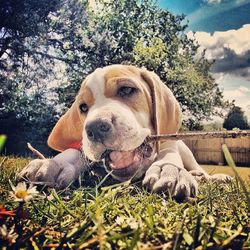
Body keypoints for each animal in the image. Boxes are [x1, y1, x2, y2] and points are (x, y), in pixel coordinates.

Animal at [17, 64, 229, 199]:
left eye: (126, 90)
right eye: (83, 108)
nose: (95, 128)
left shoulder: (169, 142)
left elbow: (169, 153)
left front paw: (170, 170)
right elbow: (74, 151)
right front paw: (53, 164)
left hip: (186, 150)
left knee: (199, 168)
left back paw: (212, 177)